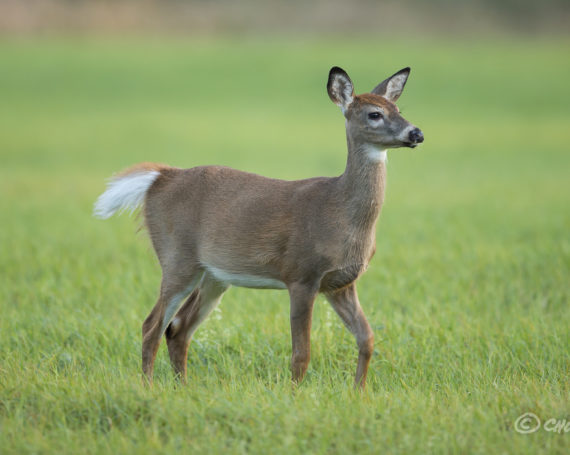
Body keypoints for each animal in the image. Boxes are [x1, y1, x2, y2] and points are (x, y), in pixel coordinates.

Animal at [94, 67, 422, 388]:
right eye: (374, 114)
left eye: (398, 109)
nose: (416, 133)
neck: (339, 211)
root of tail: (159, 178)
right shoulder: (301, 275)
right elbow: (301, 353)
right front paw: (294, 395)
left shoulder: (340, 283)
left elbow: (367, 339)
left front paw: (358, 393)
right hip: (177, 258)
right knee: (151, 325)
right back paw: (148, 387)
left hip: (213, 275)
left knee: (178, 328)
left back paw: (182, 387)